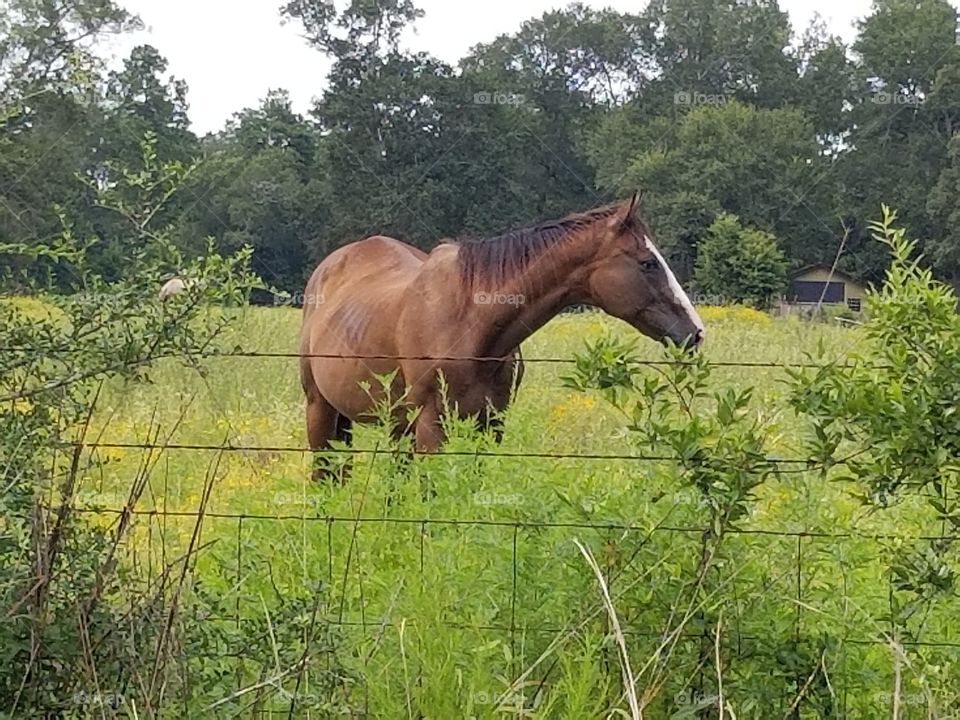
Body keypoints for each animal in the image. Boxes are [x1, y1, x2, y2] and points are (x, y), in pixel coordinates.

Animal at [298, 193, 703, 478]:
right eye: (647, 263)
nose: (695, 331)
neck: (471, 322)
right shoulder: (431, 425)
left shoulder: (490, 424)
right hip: (321, 408)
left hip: (391, 422)